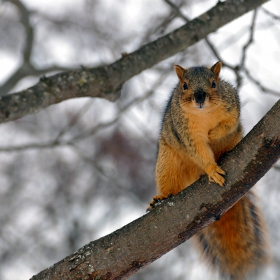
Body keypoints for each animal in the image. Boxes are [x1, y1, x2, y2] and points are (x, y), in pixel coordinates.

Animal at [149, 62, 270, 280]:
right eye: (184, 86)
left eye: (214, 83)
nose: (199, 98)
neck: (203, 114)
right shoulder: (187, 134)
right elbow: (198, 150)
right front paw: (212, 169)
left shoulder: (232, 104)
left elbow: (229, 123)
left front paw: (214, 134)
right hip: (168, 161)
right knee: (170, 182)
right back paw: (161, 197)